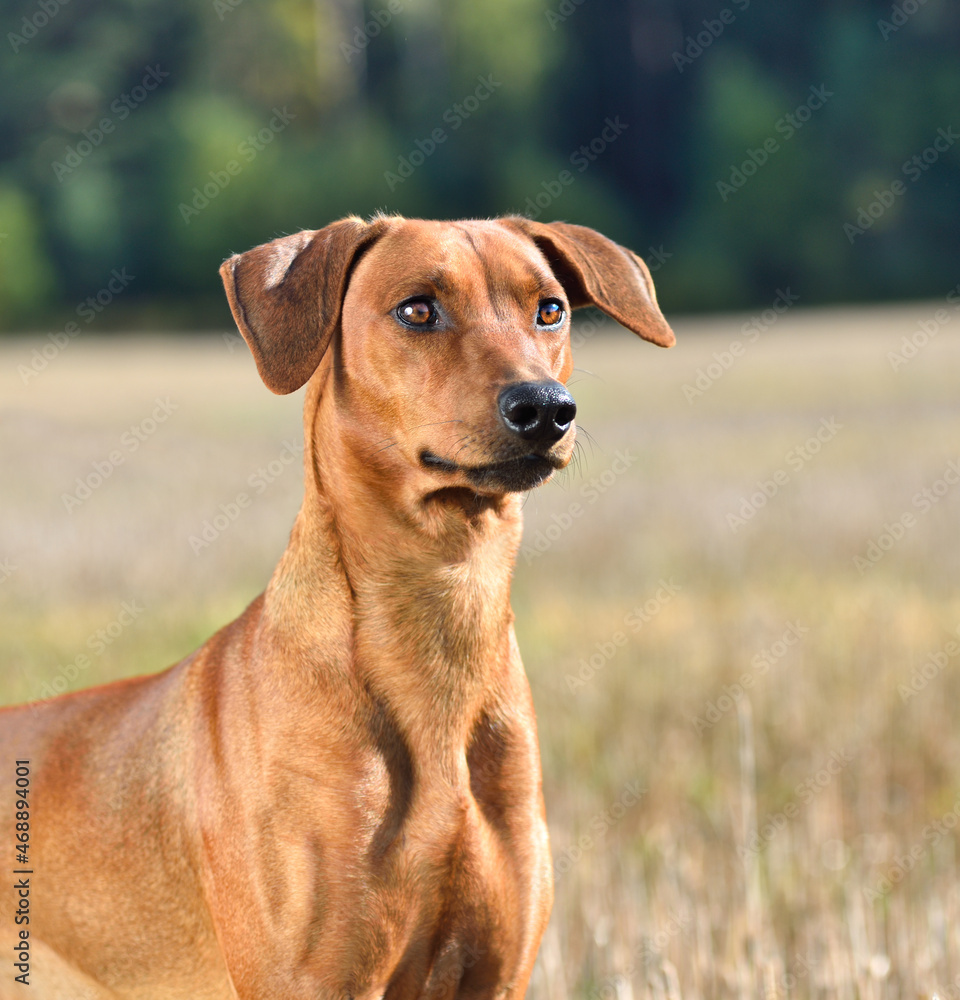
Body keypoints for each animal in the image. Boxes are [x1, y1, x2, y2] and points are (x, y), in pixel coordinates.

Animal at [1, 215, 676, 996]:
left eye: (550, 309)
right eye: (417, 309)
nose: (544, 409)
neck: (442, 615)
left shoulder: (496, 975)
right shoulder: (310, 979)